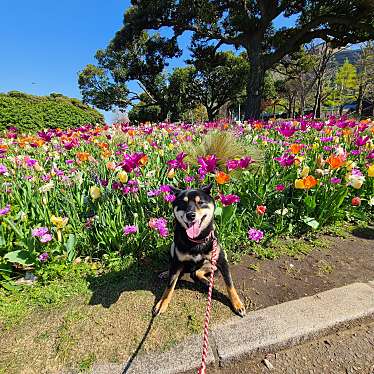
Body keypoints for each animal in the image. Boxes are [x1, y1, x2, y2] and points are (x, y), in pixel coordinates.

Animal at [152, 183, 245, 318]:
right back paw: (167, 273)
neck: (196, 241)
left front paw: (237, 304)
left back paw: (206, 281)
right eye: (183, 203)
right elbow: (169, 287)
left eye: (200, 202)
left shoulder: (221, 260)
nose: (190, 215)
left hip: (215, 261)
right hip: (173, 248)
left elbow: (230, 284)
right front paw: (162, 303)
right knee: (186, 271)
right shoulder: (177, 262)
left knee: (196, 272)